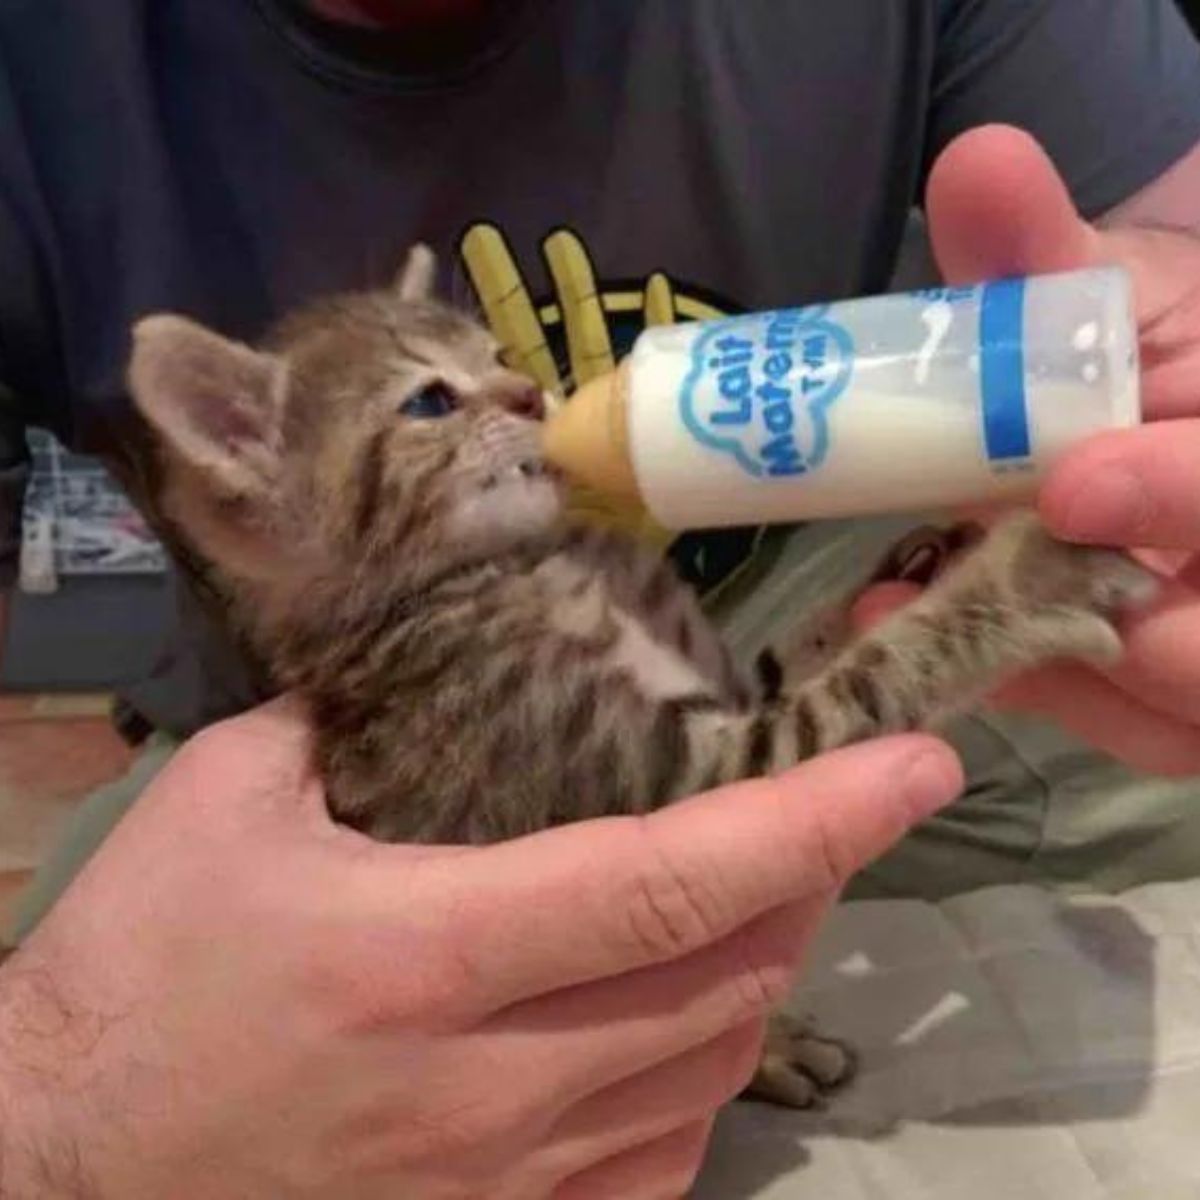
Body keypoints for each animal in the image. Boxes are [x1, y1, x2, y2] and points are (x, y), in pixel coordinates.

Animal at [126, 248, 1156, 1108]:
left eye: (497, 352)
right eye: (429, 403)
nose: (531, 395)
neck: (527, 569)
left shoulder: (729, 690)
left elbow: (800, 657)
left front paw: (917, 564)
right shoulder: (688, 780)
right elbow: (868, 681)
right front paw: (1023, 575)